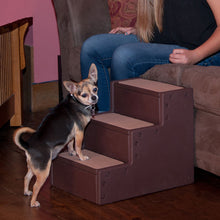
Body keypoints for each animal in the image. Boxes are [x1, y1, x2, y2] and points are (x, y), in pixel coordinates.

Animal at [13, 64, 98, 208]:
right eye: (84, 94)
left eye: (95, 89)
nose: (94, 97)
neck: (77, 102)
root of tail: (28, 147)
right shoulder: (80, 132)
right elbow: (78, 146)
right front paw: (81, 157)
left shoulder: (73, 133)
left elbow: (70, 144)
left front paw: (71, 152)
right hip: (43, 171)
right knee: (36, 186)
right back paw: (34, 203)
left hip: (34, 167)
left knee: (26, 177)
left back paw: (26, 192)